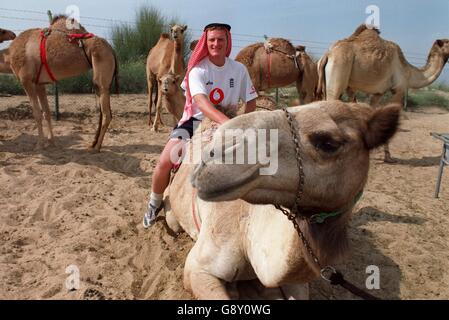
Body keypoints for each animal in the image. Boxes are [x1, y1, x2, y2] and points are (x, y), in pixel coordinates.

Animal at [6, 16, 117, 152]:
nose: (11, 34)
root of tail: (111, 49)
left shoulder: (26, 80)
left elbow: (37, 114)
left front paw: (39, 145)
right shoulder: (39, 83)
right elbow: (47, 112)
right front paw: (51, 142)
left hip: (102, 69)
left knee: (107, 113)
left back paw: (96, 147)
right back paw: (93, 143)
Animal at [316, 24, 448, 162]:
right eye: (448, 42)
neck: (408, 71)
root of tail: (327, 55)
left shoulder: (378, 93)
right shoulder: (399, 89)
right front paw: (388, 157)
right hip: (338, 73)